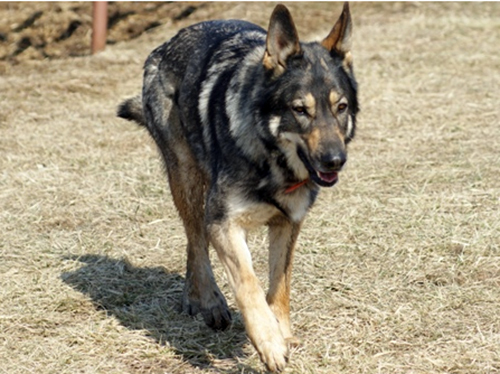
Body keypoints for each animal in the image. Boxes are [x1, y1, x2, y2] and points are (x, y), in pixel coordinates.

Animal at [118, 2, 358, 372]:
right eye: (300, 110)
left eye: (340, 107)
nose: (335, 161)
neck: (271, 159)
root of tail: (165, 45)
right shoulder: (224, 223)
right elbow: (249, 284)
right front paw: (269, 343)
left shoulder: (288, 224)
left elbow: (279, 284)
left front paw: (282, 333)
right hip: (187, 179)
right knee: (195, 238)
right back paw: (209, 301)